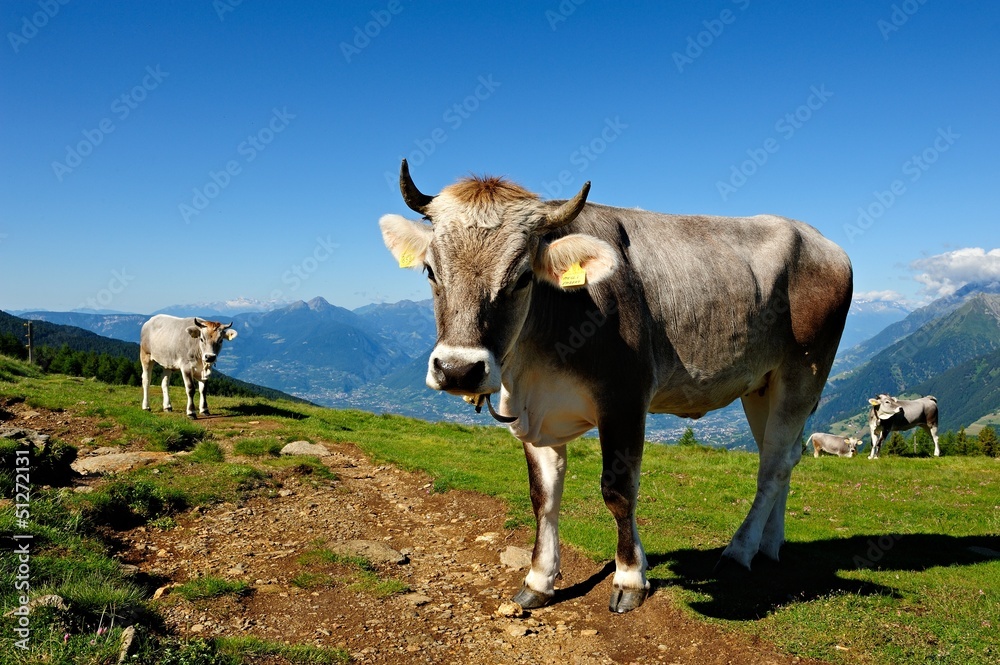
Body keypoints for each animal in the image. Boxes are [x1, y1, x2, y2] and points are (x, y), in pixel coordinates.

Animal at [376, 160, 852, 612]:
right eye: (430, 270)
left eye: (523, 277)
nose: (458, 370)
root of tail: (818, 238)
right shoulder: (532, 413)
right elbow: (542, 496)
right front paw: (538, 580)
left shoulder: (624, 398)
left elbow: (618, 492)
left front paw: (629, 578)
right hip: (761, 386)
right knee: (785, 456)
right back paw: (770, 546)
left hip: (804, 372)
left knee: (772, 467)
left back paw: (739, 552)